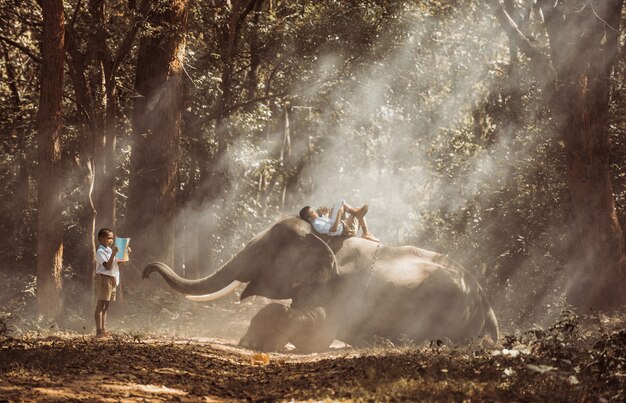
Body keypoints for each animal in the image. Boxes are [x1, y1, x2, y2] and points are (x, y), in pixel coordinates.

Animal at [141, 216, 498, 352]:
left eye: (264, 252)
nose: (146, 271)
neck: (327, 239)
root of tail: (488, 307)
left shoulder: (343, 291)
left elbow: (319, 332)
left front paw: (254, 342)